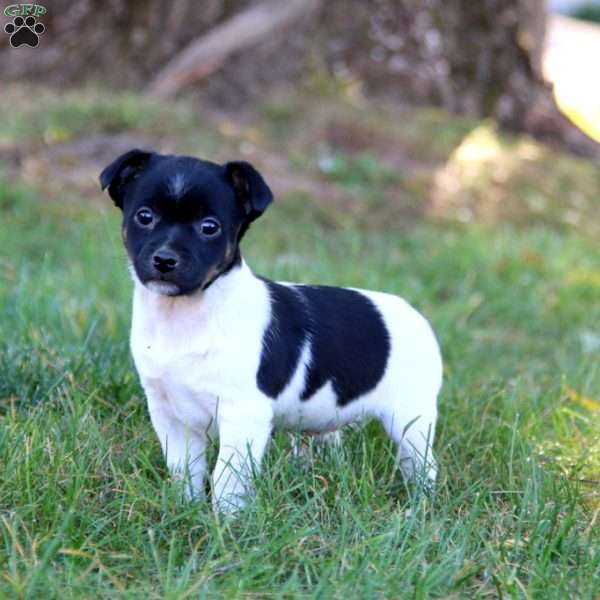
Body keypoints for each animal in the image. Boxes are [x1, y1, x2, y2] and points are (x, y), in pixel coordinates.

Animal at [101, 150, 442, 510]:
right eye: (144, 217)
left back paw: (419, 505)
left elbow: (226, 480)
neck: (185, 316)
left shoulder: (242, 416)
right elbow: (184, 470)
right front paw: (185, 508)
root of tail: (415, 315)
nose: (164, 259)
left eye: (209, 227)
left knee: (422, 463)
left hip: (410, 417)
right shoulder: (169, 414)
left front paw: (226, 520)